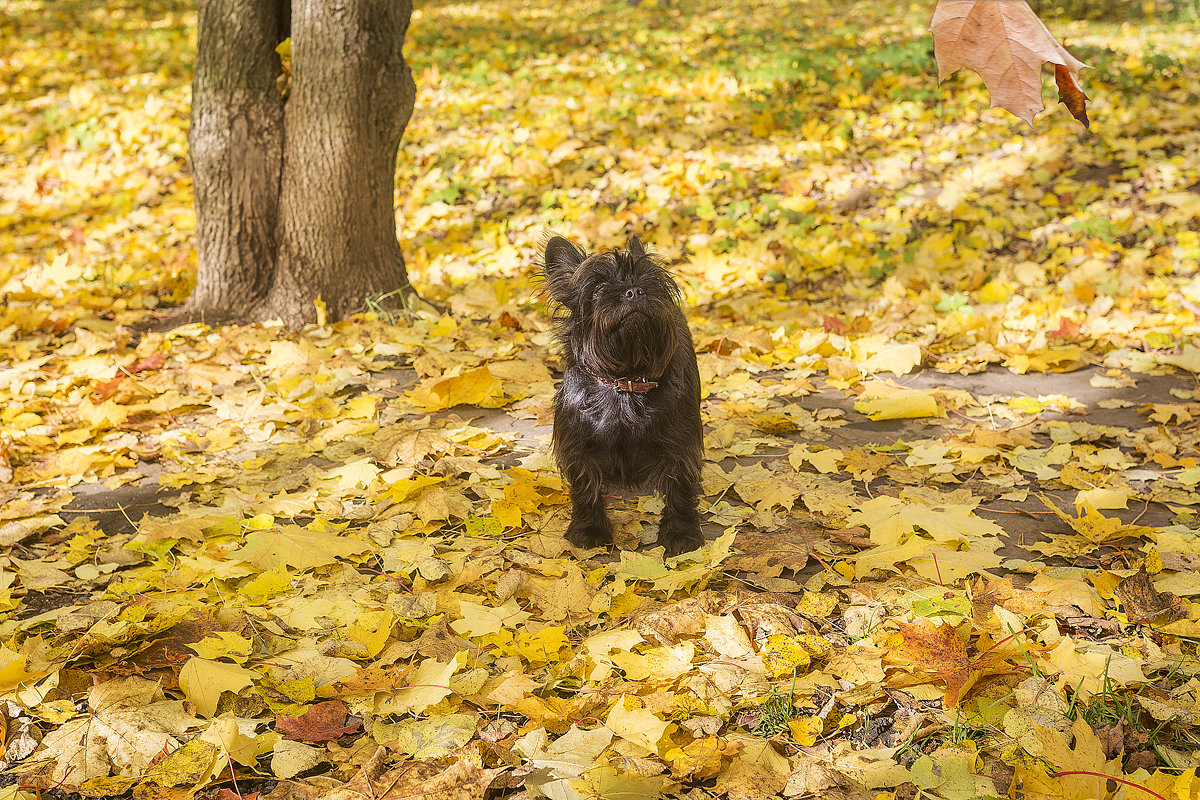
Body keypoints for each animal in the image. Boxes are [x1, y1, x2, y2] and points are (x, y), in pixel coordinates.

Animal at [544, 235, 700, 554]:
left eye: (652, 283)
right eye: (598, 290)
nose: (634, 291)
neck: (625, 382)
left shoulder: (680, 443)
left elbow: (680, 484)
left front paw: (681, 532)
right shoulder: (578, 445)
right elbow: (585, 485)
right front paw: (589, 528)